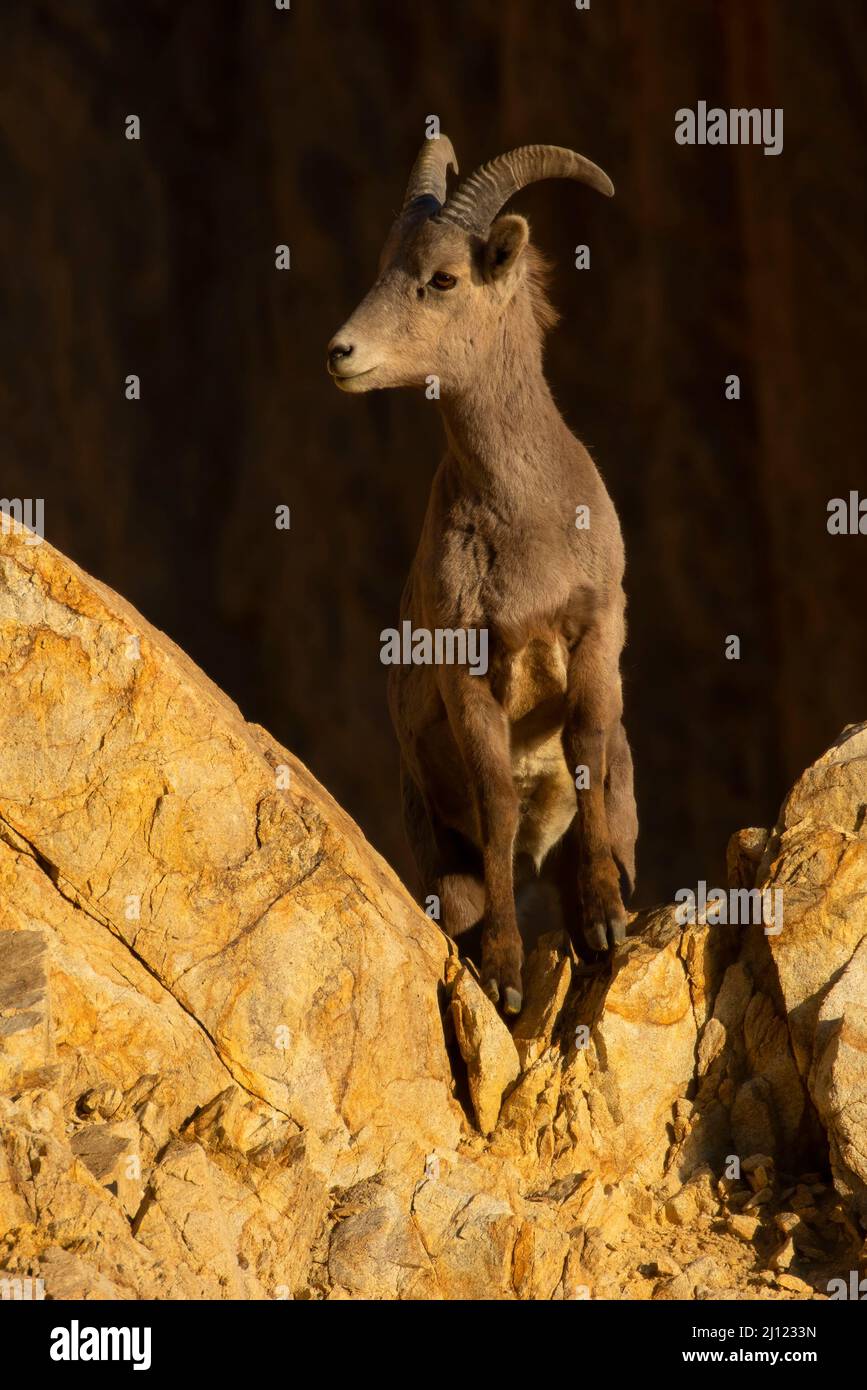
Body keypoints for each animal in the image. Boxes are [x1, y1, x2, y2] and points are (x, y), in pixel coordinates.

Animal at [325, 135, 636, 1017]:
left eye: (442, 279)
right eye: (384, 267)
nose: (341, 354)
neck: (527, 522)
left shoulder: (595, 629)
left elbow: (584, 744)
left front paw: (604, 919)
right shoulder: (467, 667)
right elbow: (497, 797)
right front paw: (501, 973)